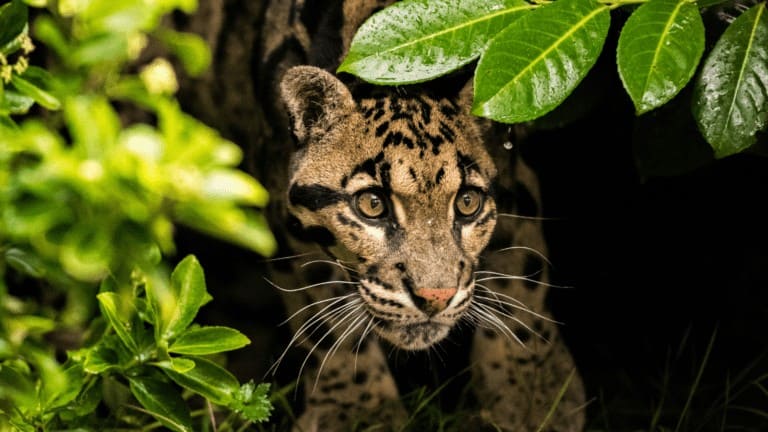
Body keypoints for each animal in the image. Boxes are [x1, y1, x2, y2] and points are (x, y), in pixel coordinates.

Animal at [170, 0, 586, 430]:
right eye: (372, 205)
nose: (436, 298)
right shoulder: (280, 202)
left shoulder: (514, 172)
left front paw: (533, 390)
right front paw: (359, 411)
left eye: (467, 203)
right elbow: (324, 310)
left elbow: (523, 273)